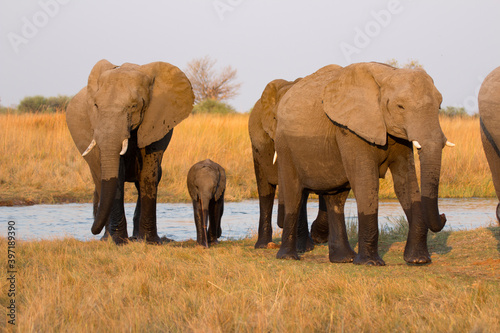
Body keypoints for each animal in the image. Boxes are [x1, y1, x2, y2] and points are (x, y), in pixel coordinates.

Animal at [65, 59, 193, 244]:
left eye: (134, 106)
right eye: (95, 106)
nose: (93, 230)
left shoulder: (158, 119)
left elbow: (148, 174)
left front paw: (150, 241)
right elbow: (116, 174)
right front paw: (119, 241)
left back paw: (135, 237)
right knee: (99, 179)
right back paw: (108, 239)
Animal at [274, 62, 454, 264]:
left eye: (439, 106)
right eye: (400, 106)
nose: (444, 216)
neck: (388, 73)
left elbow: (405, 183)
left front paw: (418, 260)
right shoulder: (352, 129)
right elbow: (366, 182)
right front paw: (371, 263)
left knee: (336, 199)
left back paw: (343, 259)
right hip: (285, 145)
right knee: (294, 194)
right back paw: (288, 257)